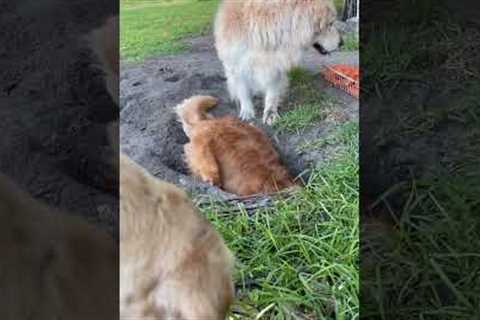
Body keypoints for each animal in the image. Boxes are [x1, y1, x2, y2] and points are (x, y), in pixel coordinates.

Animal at [216, 0, 344, 124]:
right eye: (330, 24)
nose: (342, 43)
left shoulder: (275, 68)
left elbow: (272, 95)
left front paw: (270, 113)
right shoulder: (236, 65)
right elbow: (243, 91)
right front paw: (247, 111)